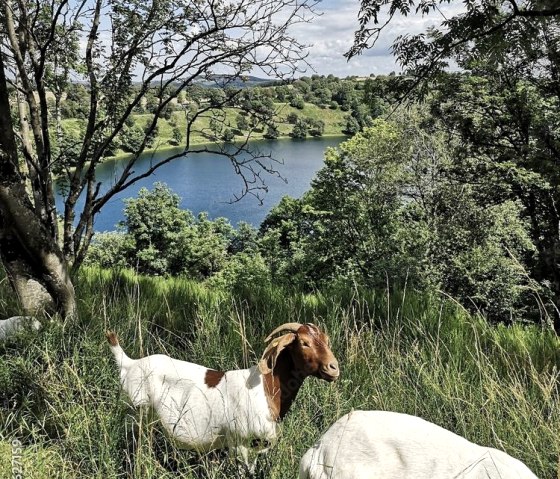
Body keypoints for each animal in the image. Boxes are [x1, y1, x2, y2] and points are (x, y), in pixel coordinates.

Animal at [107, 322, 340, 468]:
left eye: (327, 340)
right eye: (304, 342)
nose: (334, 368)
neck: (265, 388)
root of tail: (129, 364)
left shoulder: (256, 447)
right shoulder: (239, 443)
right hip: (137, 415)